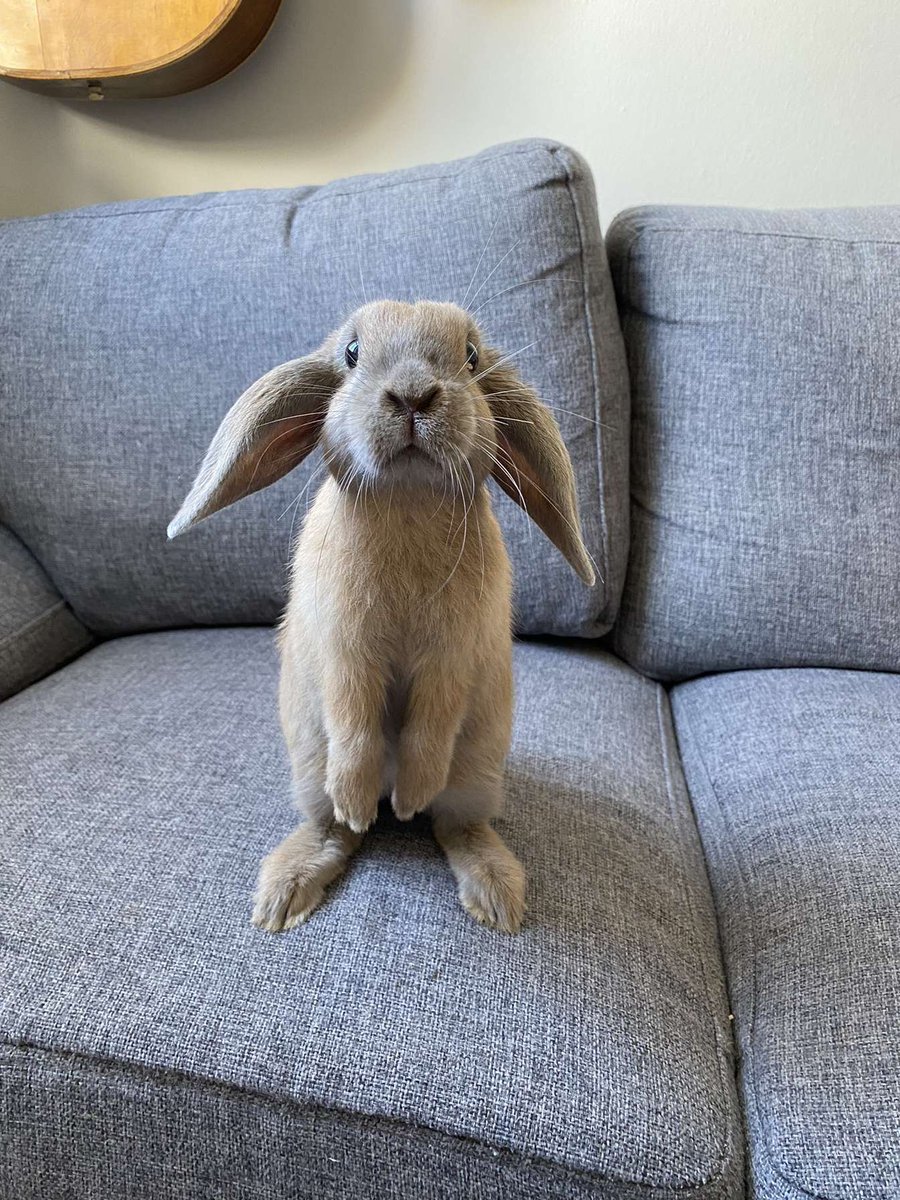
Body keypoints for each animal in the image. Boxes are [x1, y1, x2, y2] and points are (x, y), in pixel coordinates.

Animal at [168, 300, 594, 934]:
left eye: (472, 356)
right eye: (351, 353)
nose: (414, 395)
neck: (408, 498)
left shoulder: (453, 657)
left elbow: (432, 723)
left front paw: (413, 795)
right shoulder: (345, 653)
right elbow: (354, 720)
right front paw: (357, 798)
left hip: (476, 771)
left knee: (456, 826)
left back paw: (493, 893)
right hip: (309, 764)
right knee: (336, 830)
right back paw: (296, 883)